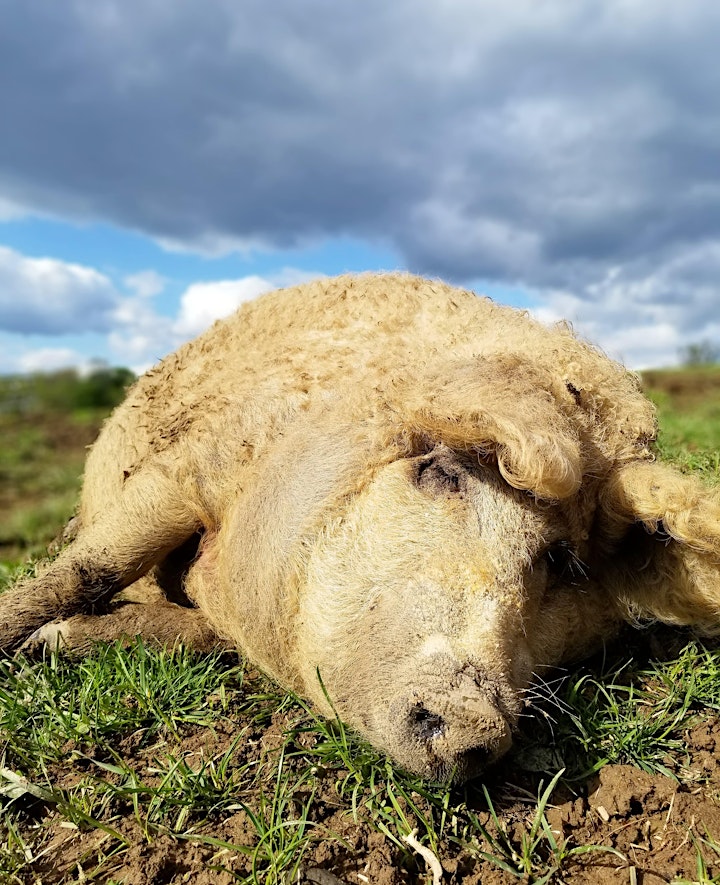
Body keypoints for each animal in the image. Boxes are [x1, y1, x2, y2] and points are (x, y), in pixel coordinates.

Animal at [1, 274, 720, 780]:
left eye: (562, 560)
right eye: (441, 472)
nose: (473, 718)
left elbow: (188, 635)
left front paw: (50, 643)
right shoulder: (190, 467)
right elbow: (90, 568)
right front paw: (29, 639)